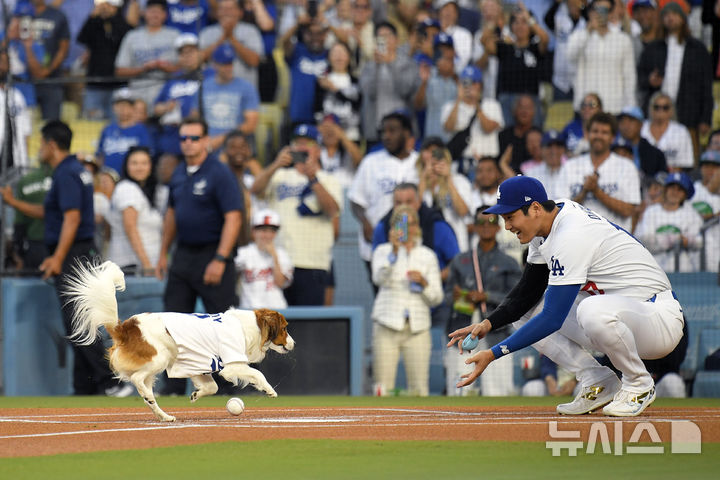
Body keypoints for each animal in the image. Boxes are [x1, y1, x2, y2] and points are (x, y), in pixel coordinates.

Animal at [64, 260, 294, 422]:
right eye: (284, 328)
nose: (293, 344)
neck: (249, 327)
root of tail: (126, 327)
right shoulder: (232, 365)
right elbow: (256, 373)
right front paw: (269, 389)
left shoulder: (198, 365)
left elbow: (213, 388)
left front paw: (196, 394)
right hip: (160, 359)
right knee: (138, 380)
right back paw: (149, 398)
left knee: (148, 392)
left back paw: (163, 415)